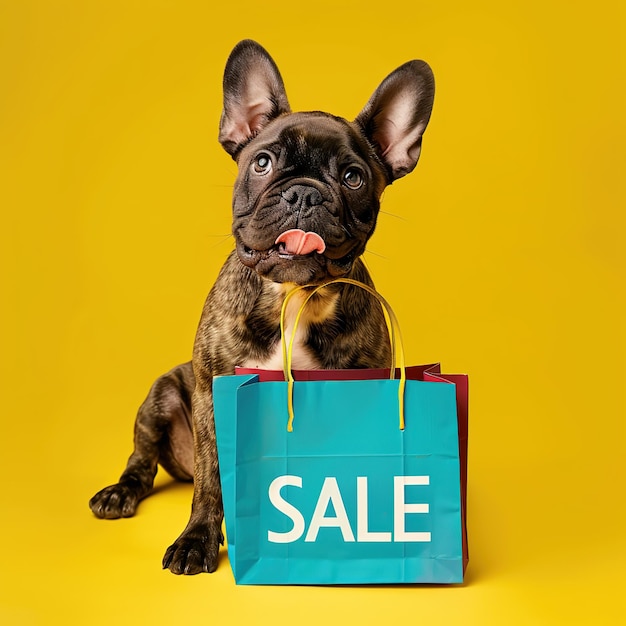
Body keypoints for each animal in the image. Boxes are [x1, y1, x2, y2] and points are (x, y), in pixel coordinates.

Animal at [89, 40, 434, 576]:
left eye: (353, 177)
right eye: (263, 163)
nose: (304, 193)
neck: (292, 294)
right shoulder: (212, 390)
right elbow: (211, 477)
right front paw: (197, 540)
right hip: (161, 397)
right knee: (142, 463)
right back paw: (120, 492)